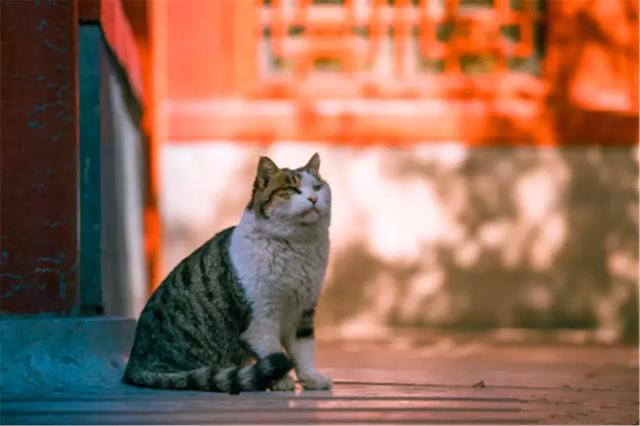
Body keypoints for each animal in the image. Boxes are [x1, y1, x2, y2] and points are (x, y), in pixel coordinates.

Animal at [123, 152, 332, 392]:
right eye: (292, 189)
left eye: (317, 187)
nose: (314, 199)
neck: (298, 247)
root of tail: (133, 364)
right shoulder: (261, 316)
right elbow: (272, 349)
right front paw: (281, 381)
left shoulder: (303, 312)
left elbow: (304, 351)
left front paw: (311, 379)